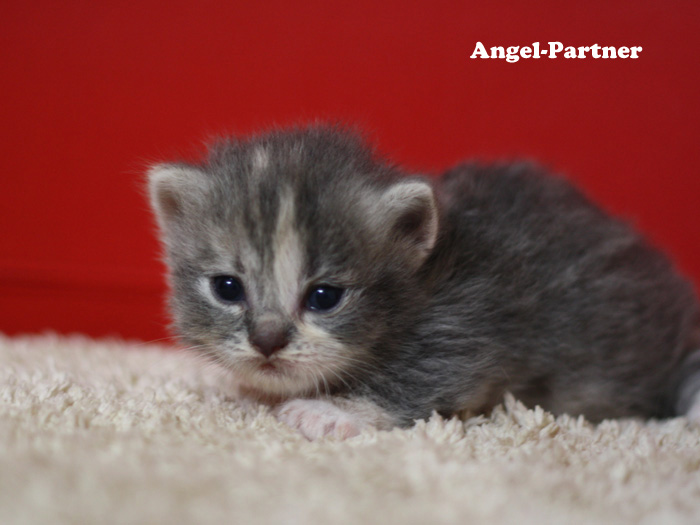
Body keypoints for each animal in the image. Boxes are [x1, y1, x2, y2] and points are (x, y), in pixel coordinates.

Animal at [148, 126, 700, 438]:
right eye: (227, 288)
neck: (426, 279)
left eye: (324, 297)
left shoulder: (469, 323)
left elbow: (420, 377)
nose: (266, 340)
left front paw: (330, 412)